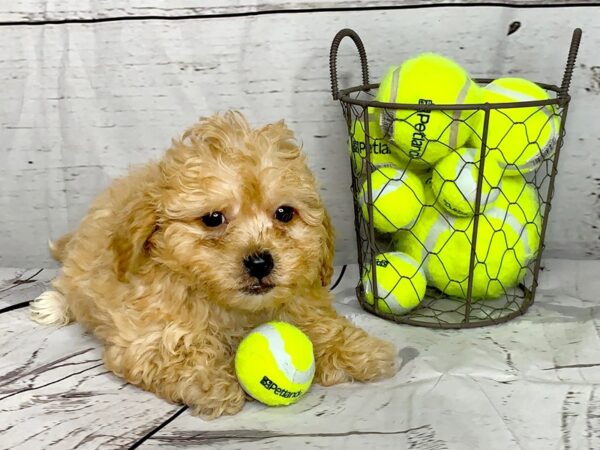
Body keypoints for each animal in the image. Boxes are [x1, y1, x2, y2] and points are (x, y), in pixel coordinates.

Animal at [32, 111, 398, 418]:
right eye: (212, 219)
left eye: (284, 213)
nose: (260, 262)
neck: (235, 310)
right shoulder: (146, 336)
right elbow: (177, 352)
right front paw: (213, 384)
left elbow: (320, 324)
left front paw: (359, 350)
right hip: (78, 268)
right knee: (67, 285)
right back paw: (52, 304)